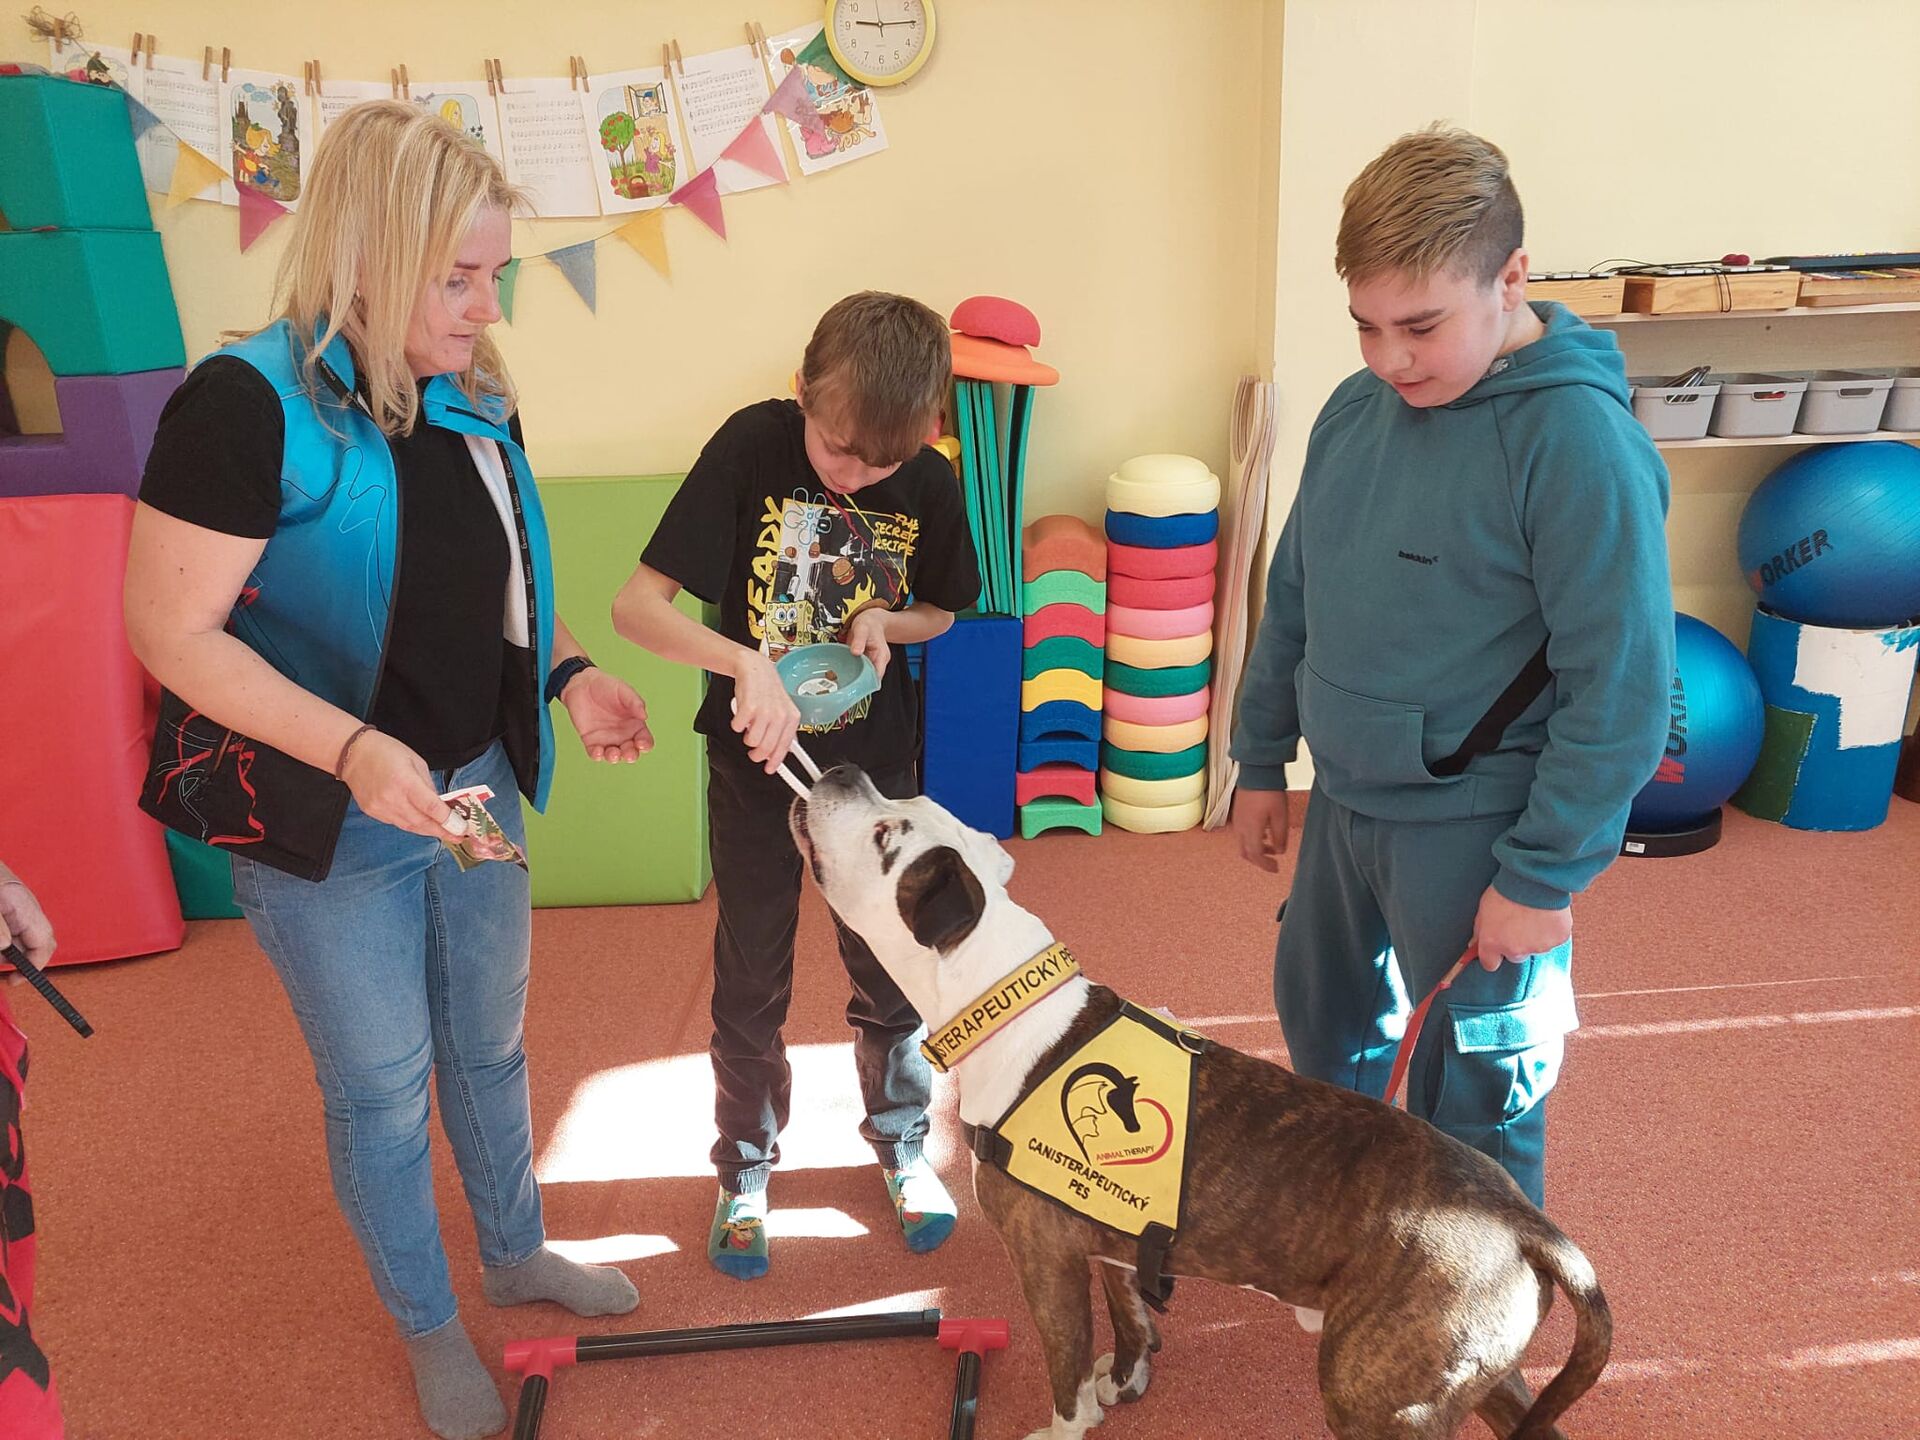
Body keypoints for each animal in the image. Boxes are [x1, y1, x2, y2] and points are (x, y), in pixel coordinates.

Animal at [791, 766, 1611, 1440]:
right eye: (898, 803)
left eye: (886, 836)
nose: (844, 767)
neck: (1002, 1004)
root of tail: (1524, 1223)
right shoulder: (1111, 1238)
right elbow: (1128, 1317)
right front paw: (1128, 1378)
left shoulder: (1044, 1260)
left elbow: (1065, 1374)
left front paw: (1068, 1424)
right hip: (1465, 1371)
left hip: (1375, 1394)